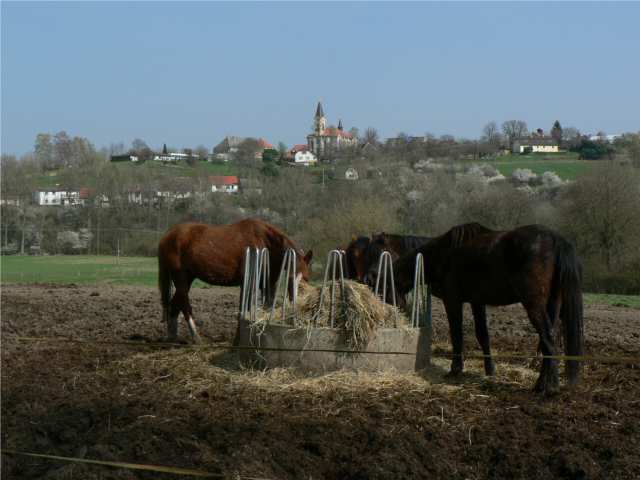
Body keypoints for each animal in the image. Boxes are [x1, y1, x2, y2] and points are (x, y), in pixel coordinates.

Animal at [158, 219, 312, 344]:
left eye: (306, 279)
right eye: (290, 278)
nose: (297, 301)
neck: (264, 242)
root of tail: (168, 236)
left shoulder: (268, 284)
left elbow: (266, 308)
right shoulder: (247, 284)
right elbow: (243, 311)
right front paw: (239, 339)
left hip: (187, 278)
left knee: (175, 304)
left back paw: (172, 336)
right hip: (181, 278)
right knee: (184, 305)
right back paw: (196, 337)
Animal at [392, 222, 584, 394]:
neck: (444, 254)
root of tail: (555, 240)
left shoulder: (452, 301)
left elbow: (456, 334)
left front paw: (455, 369)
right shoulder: (477, 302)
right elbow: (482, 334)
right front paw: (490, 370)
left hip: (534, 305)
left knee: (548, 339)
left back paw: (550, 388)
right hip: (552, 305)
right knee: (547, 341)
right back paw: (542, 384)